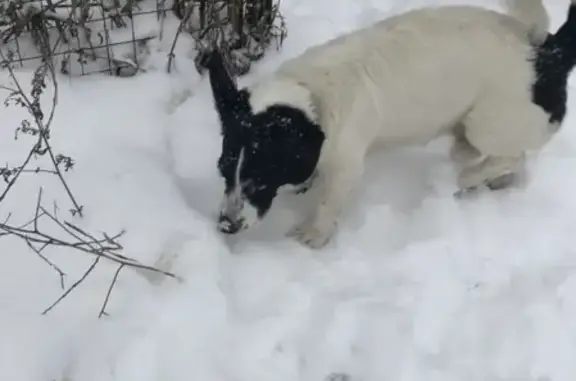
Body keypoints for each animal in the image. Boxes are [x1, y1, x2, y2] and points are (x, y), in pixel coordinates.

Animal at [205, 0, 576, 248]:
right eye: (222, 170)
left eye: (259, 178)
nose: (226, 226)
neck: (310, 94)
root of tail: (549, 52)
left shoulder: (346, 165)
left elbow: (328, 202)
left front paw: (313, 234)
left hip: (487, 122)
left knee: (510, 155)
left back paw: (467, 177)